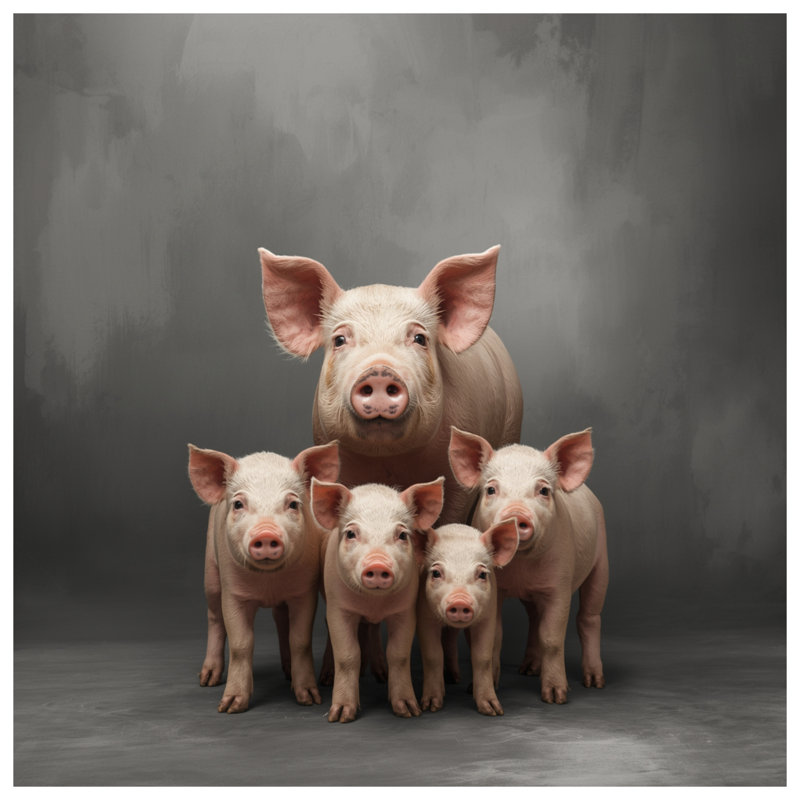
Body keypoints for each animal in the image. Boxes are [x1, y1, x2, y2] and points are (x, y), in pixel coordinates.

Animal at [187, 441, 339, 713]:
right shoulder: (232, 591)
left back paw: (288, 673)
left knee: (281, 620)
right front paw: (230, 707)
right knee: (214, 617)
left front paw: (310, 699)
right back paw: (207, 680)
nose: (266, 533)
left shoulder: (304, 591)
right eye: (238, 504)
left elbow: (300, 640)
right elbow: (241, 642)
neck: (269, 584)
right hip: (210, 571)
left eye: (292, 504)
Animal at [311, 476, 444, 723]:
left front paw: (410, 711)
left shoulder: (405, 610)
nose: (378, 564)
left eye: (402, 535)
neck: (373, 603)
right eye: (351, 533)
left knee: (371, 630)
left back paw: (380, 675)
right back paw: (327, 677)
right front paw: (340, 716)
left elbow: (399, 654)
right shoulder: (338, 607)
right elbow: (347, 655)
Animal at [415, 520, 520, 716]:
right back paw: (450, 680)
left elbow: (482, 657)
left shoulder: (487, 616)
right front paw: (431, 706)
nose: (459, 601)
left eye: (482, 574)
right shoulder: (425, 615)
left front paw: (493, 710)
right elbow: (433, 656)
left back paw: (460, 680)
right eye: (436, 573)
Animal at [449, 426, 608, 704]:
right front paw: (478, 688)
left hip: (602, 560)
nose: (516, 515)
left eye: (543, 491)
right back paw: (528, 670)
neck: (521, 569)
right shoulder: (496, 588)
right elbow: (496, 637)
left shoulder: (559, 584)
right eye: (491, 490)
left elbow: (552, 637)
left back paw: (595, 682)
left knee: (588, 618)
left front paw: (556, 697)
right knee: (535, 618)